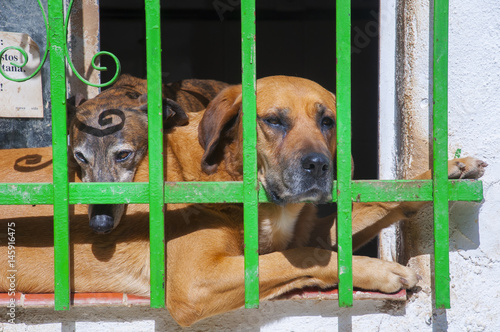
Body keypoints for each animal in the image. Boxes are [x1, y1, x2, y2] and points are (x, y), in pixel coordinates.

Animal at [0, 75, 486, 326]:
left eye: (327, 121)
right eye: (273, 121)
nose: (319, 166)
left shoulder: (313, 225)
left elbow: (381, 199)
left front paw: (447, 171)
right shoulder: (196, 283)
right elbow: (300, 258)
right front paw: (380, 270)